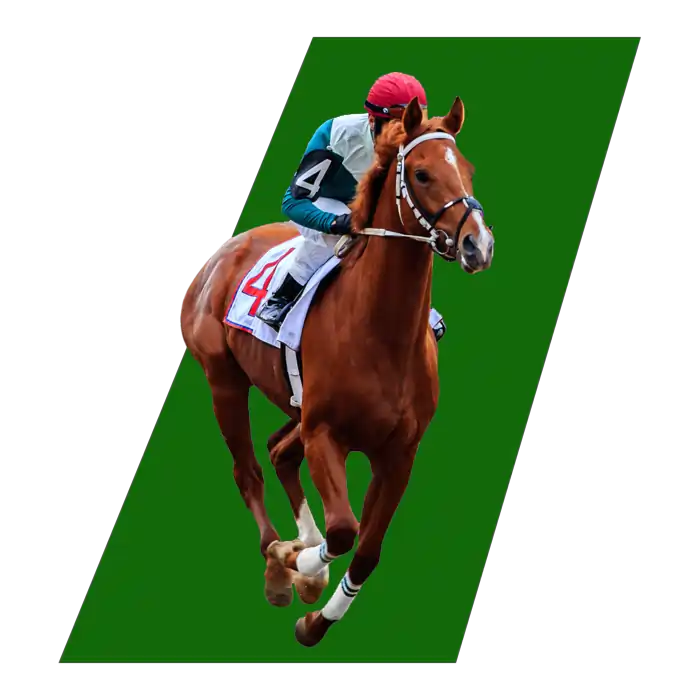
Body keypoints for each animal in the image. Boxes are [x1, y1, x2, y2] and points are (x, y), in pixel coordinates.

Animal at [179, 95, 495, 648]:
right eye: (421, 174)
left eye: (467, 169)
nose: (479, 245)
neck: (381, 334)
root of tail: (218, 254)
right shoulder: (326, 433)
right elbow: (345, 529)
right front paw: (294, 564)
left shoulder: (399, 454)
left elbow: (366, 551)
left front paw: (315, 620)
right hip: (224, 381)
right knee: (249, 469)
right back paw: (279, 558)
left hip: (292, 403)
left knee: (279, 450)